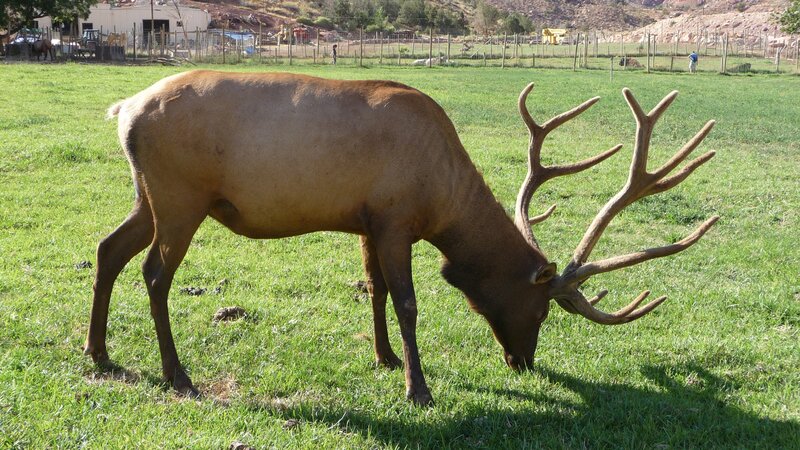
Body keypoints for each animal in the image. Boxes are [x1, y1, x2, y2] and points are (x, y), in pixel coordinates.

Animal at [88, 70, 717, 406]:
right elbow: (409, 301)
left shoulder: (368, 223)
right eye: (540, 310)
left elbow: (376, 290)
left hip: (148, 196)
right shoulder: (395, 220)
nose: (523, 362)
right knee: (154, 273)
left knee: (107, 249)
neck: (443, 203)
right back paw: (177, 374)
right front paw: (420, 387)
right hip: (180, 198)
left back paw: (99, 354)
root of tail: (124, 110)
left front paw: (385, 358)